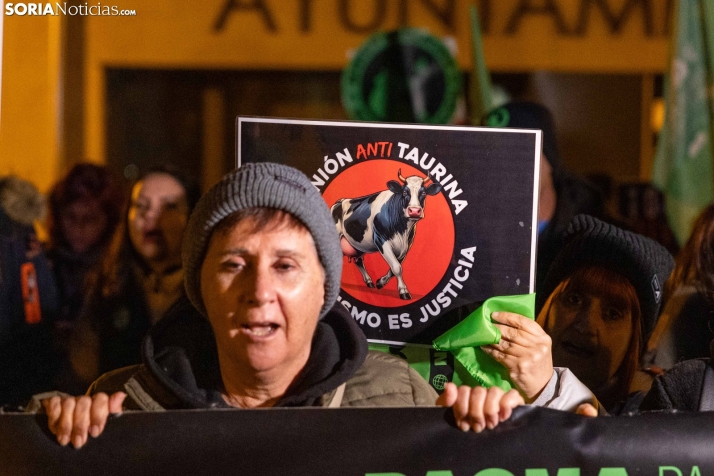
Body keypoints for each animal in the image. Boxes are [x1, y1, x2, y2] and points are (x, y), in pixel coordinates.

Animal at [330, 169, 442, 300]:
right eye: (405, 192)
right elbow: (397, 267)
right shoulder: (381, 240)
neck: (402, 231)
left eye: (423, 193)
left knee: (358, 260)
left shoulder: (406, 246)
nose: (414, 211)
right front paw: (403, 291)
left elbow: (394, 268)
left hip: (358, 244)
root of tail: (339, 201)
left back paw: (369, 281)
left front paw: (380, 282)